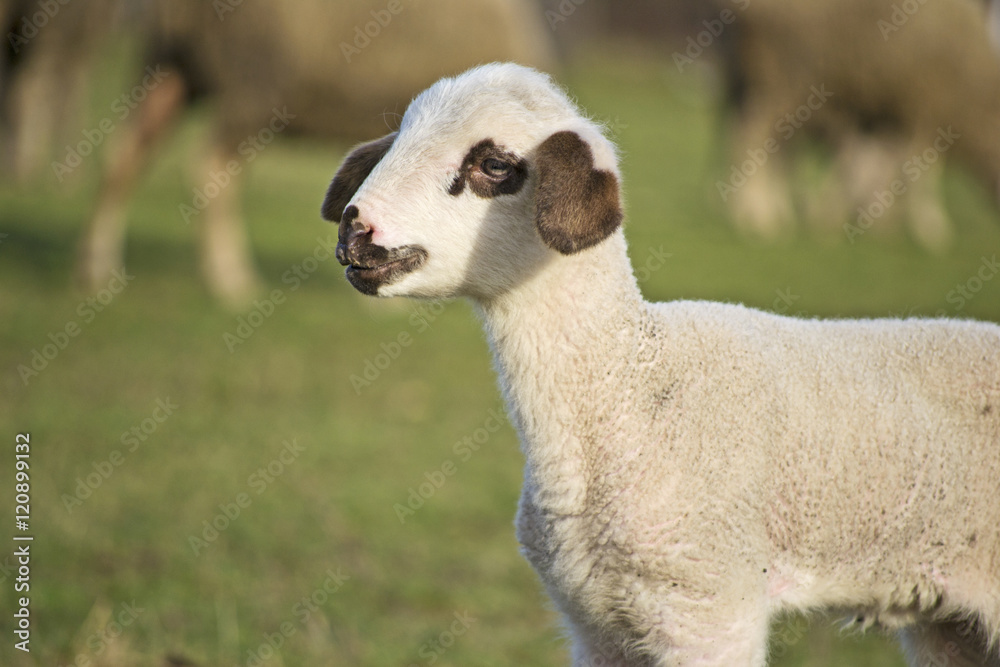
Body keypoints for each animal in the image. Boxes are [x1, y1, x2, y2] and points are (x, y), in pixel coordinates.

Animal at [322, 63, 1000, 666]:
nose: (355, 230)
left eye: (493, 164)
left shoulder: (709, 605)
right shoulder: (595, 623)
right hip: (950, 623)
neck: (634, 385)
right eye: (398, 139)